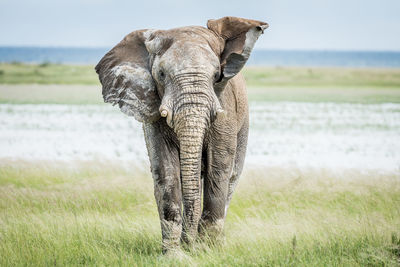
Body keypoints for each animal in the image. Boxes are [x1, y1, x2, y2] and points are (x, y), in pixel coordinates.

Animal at [95, 15, 268, 254]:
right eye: (161, 74)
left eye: (217, 76)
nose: (191, 246)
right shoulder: (154, 113)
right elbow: (166, 169)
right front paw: (175, 255)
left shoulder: (225, 107)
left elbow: (218, 166)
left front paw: (208, 252)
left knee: (231, 177)